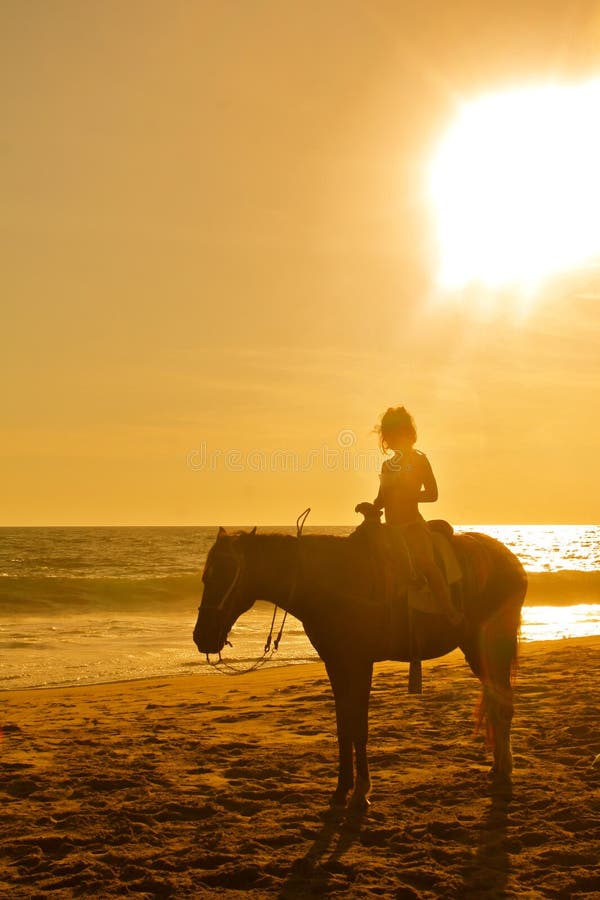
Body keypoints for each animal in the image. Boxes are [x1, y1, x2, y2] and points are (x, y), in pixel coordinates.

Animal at [192, 512, 524, 808]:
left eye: (227, 574)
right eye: (206, 577)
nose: (202, 637)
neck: (334, 582)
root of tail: (511, 561)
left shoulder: (361, 663)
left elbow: (360, 727)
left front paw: (362, 791)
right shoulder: (336, 664)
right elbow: (344, 728)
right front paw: (342, 789)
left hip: (491, 647)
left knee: (503, 704)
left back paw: (504, 773)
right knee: (496, 702)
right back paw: (498, 766)